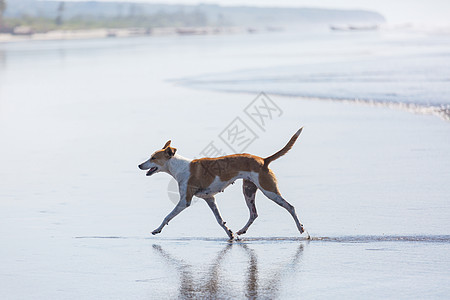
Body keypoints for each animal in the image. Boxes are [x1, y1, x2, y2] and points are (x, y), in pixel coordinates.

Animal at [138, 127, 310, 240]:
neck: (180, 167)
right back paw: (241, 231)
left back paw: (301, 228)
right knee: (254, 213)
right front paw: (230, 234)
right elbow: (220, 220)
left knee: (290, 207)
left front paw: (157, 230)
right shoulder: (210, 199)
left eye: (153, 158)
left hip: (269, 191)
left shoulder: (184, 201)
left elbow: (167, 216)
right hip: (248, 190)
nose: (139, 165)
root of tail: (263, 160)